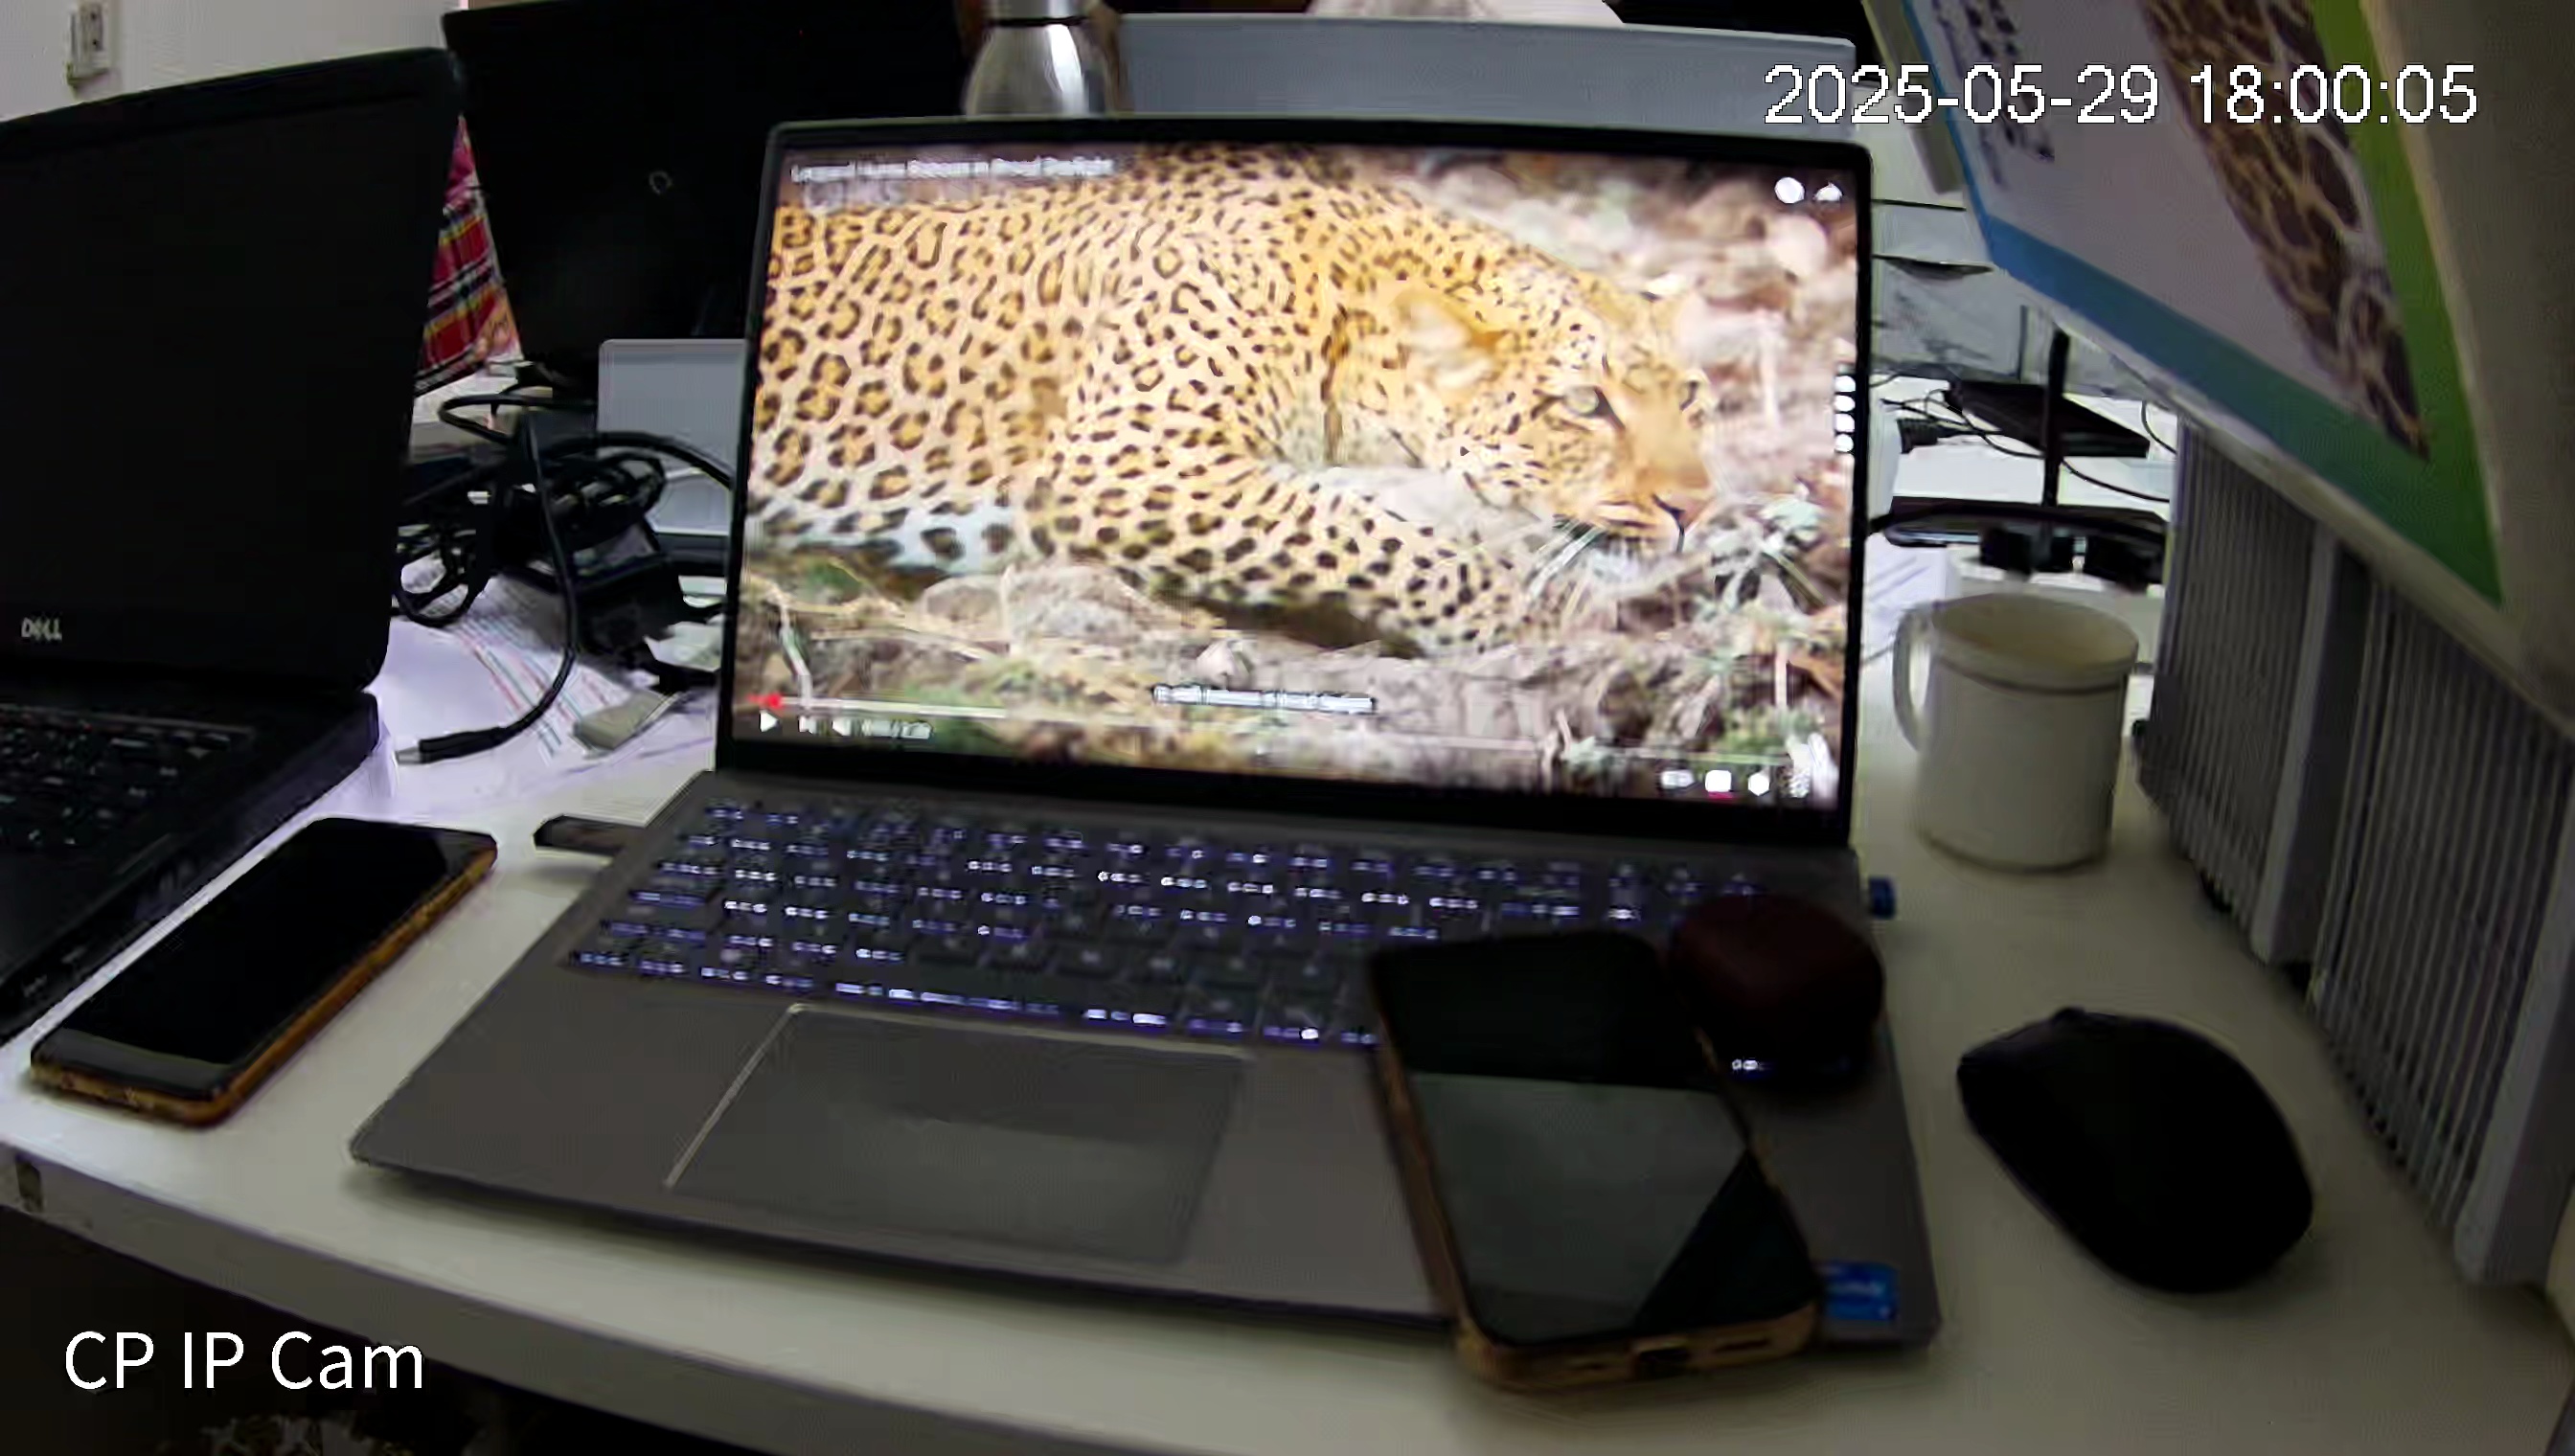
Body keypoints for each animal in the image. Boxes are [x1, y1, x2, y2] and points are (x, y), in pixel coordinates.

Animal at [743, 144, 1722, 657]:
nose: (1694, 509)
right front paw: (1535, 625)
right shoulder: (1124, 461)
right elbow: (1367, 535)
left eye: (1693, 399)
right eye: (1586, 405)